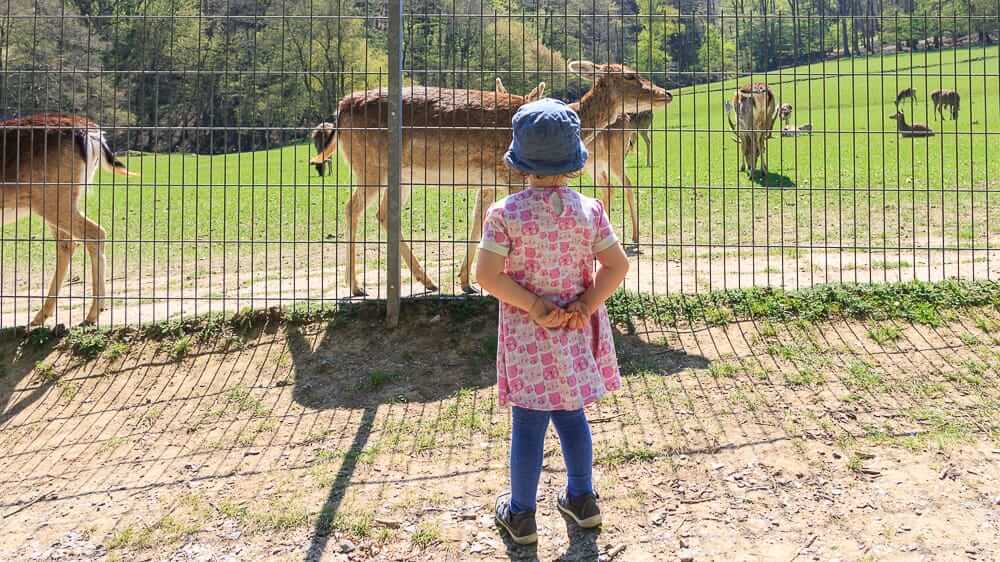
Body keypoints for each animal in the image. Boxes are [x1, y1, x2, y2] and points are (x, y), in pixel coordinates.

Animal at [0, 113, 136, 324]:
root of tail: (91, 134)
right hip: (59, 200)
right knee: (67, 244)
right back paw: (41, 315)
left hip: (53, 198)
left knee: (95, 233)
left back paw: (92, 313)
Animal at [310, 61, 672, 296]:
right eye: (630, 74)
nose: (665, 92)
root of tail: (340, 111)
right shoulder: (512, 174)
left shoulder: (489, 178)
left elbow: (477, 222)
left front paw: (465, 281)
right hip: (370, 165)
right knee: (353, 207)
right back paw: (356, 285)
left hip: (402, 174)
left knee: (383, 212)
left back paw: (427, 280)